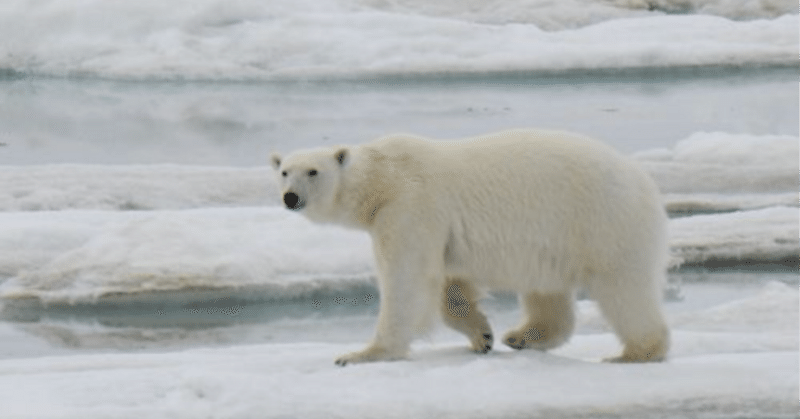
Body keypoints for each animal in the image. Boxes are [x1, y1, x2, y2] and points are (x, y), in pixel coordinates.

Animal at [272, 130, 672, 366]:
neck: (384, 176)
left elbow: (407, 279)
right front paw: (482, 335)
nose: (290, 197)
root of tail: (645, 183)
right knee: (547, 291)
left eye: (313, 172)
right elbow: (450, 283)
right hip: (559, 238)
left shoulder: (409, 207)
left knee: (624, 288)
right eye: (284, 171)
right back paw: (521, 336)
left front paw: (364, 353)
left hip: (604, 222)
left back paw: (635, 353)